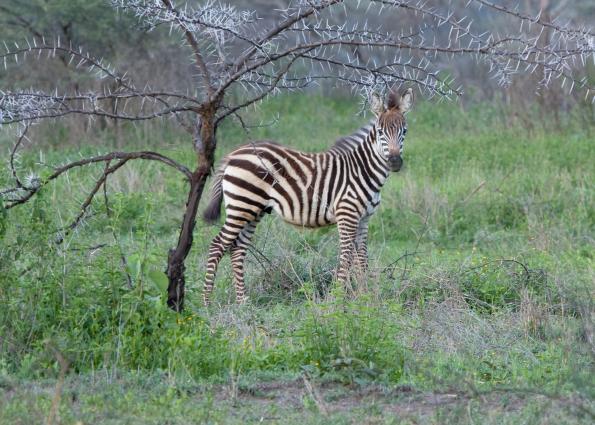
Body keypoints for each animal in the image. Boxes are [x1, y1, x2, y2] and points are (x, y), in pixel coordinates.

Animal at [203, 88, 412, 304]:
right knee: (217, 245)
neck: (362, 170)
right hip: (241, 206)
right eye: (380, 132)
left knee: (237, 249)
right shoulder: (346, 215)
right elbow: (346, 257)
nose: (395, 162)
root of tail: (233, 154)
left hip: (252, 210)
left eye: (404, 131)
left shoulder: (364, 218)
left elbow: (362, 258)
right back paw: (207, 302)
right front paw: (337, 299)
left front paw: (365, 297)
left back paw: (243, 302)